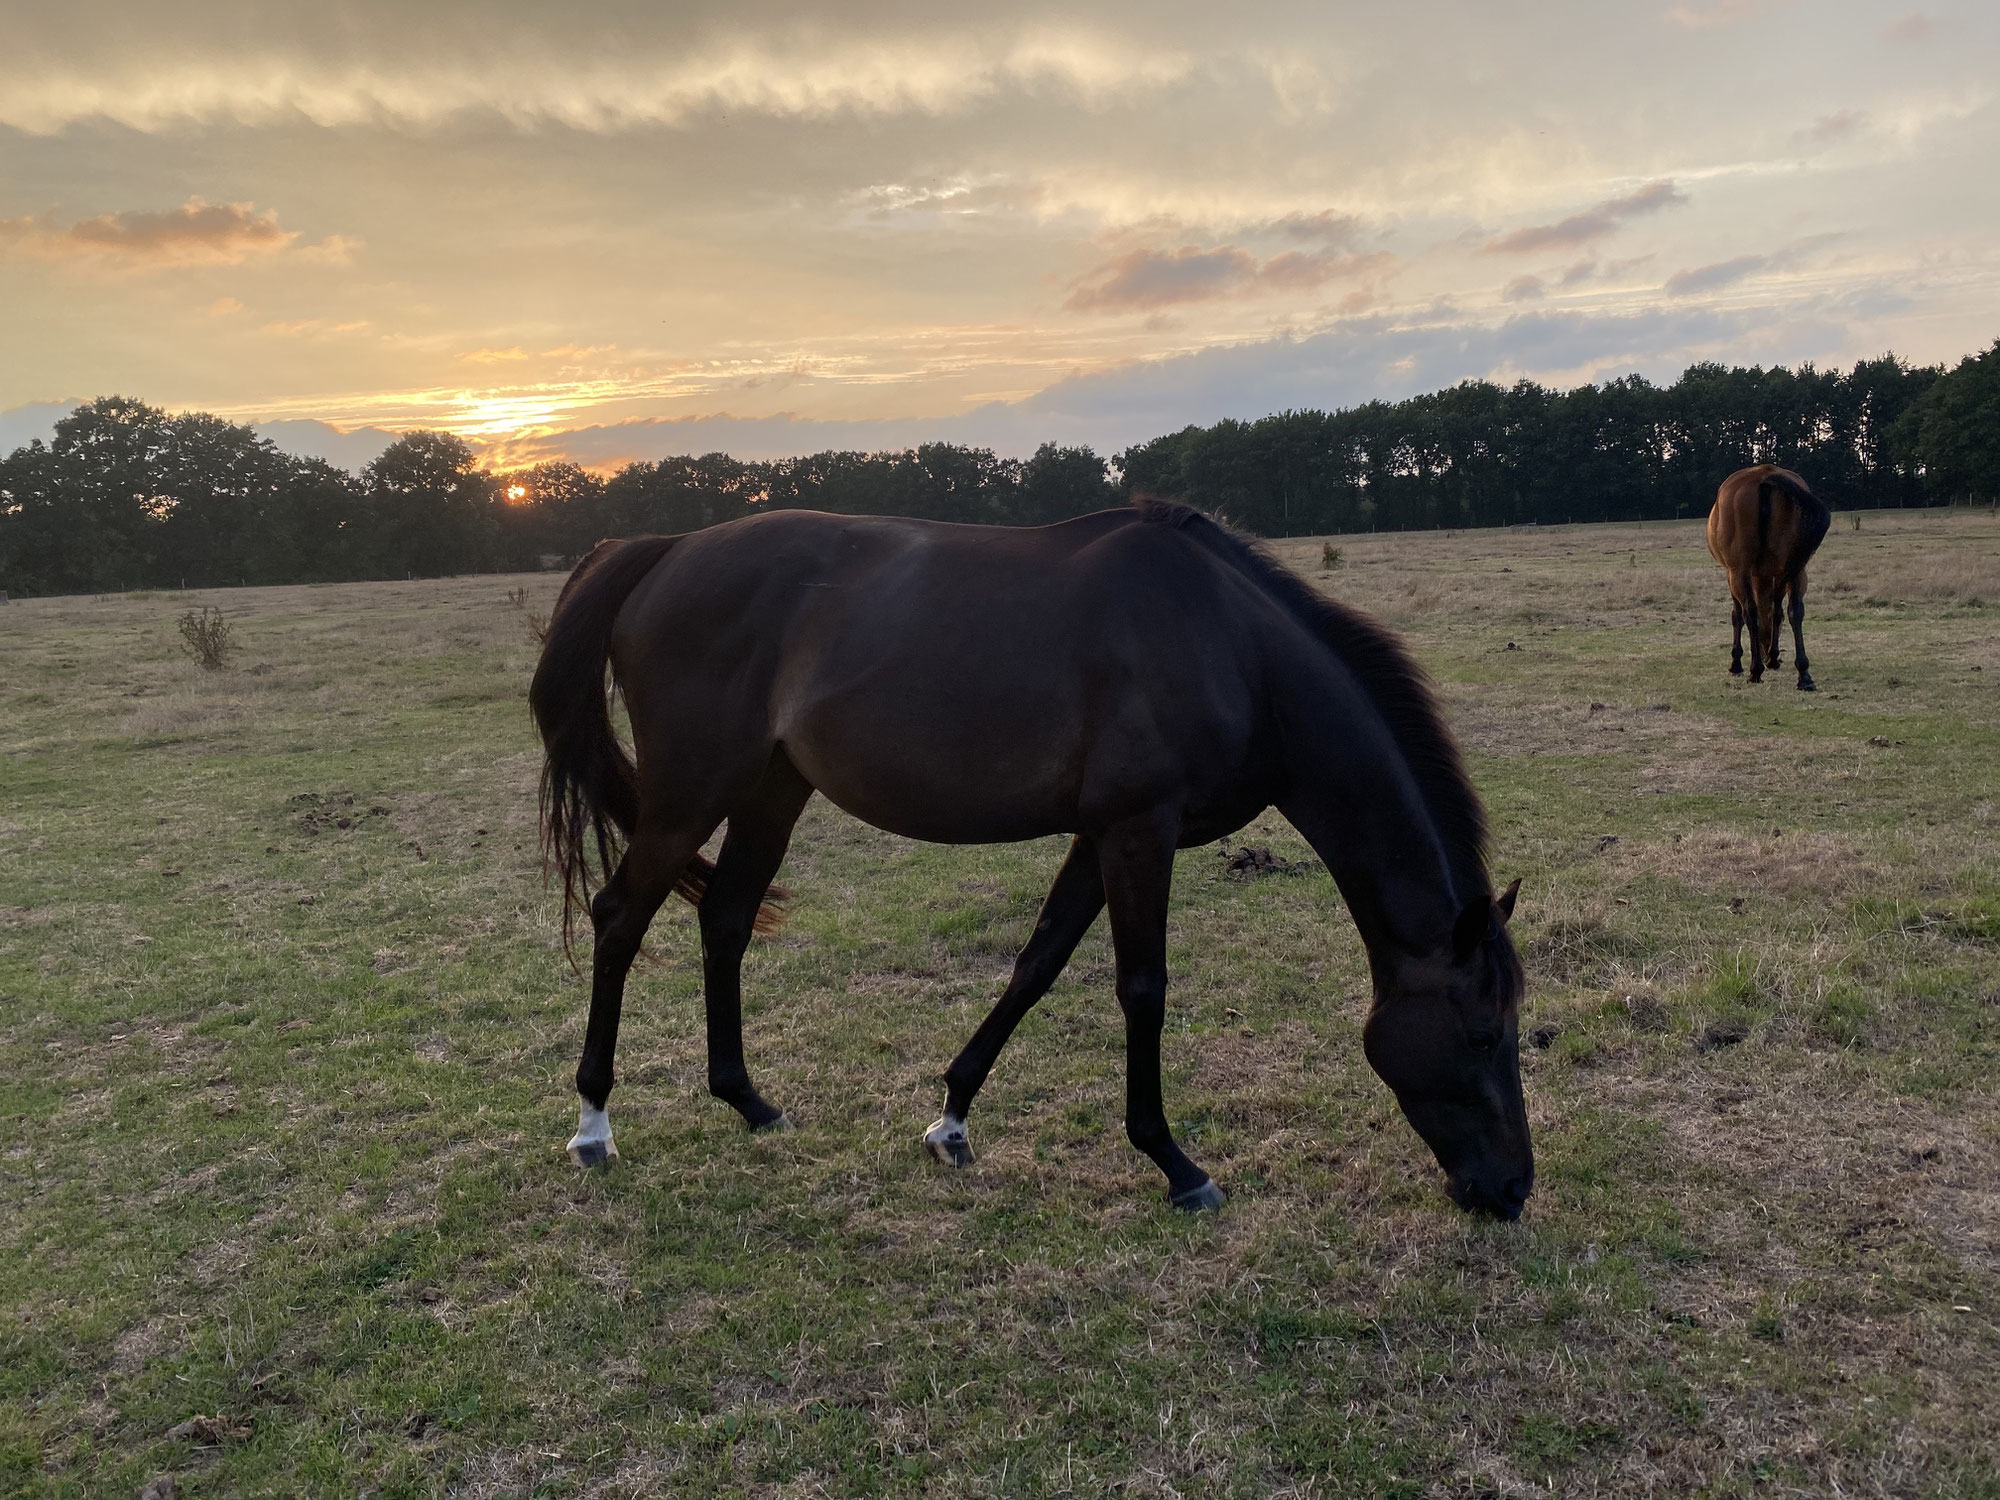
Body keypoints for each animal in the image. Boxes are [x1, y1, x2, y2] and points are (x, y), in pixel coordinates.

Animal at [528, 506, 1528, 1224]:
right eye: (1484, 1034)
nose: (1511, 1190)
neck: (1233, 650)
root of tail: (664, 549)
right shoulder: (1139, 829)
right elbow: (1142, 990)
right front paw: (1176, 1164)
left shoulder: (1103, 835)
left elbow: (1037, 963)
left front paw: (952, 1119)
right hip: (691, 791)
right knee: (620, 917)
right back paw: (593, 1126)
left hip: (771, 788)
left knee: (726, 916)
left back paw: (748, 1101)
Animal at [1704, 464, 1832, 692]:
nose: (1766, 655)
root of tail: (1765, 476)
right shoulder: (1777, 573)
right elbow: (1777, 612)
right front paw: (1773, 656)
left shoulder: (1732, 574)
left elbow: (1738, 616)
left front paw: (1737, 662)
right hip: (1798, 570)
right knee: (1795, 611)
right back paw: (1804, 675)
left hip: (1739, 572)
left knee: (1750, 613)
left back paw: (1755, 670)